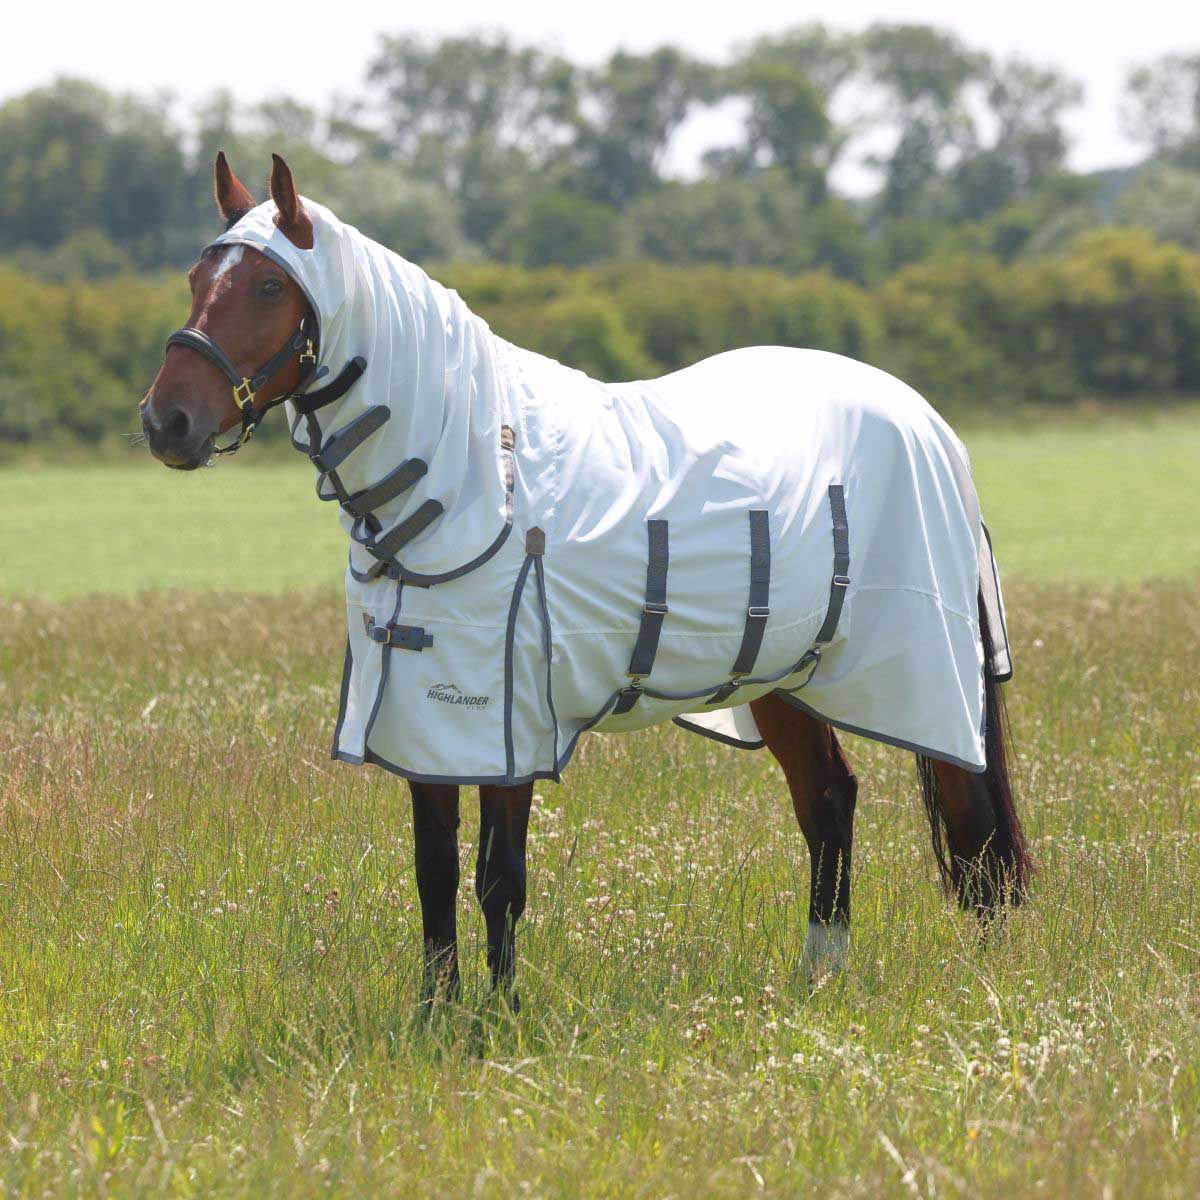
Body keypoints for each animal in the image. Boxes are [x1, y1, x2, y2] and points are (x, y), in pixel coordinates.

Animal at [140, 153, 1030, 1008]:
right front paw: (434, 1017)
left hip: (932, 672)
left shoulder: (509, 722)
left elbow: (497, 880)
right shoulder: (424, 722)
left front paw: (497, 1021)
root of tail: (925, 419)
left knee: (976, 829)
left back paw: (987, 982)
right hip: (783, 676)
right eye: (193, 277)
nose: (165, 422)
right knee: (829, 801)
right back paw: (820, 978)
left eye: (268, 285)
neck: (474, 477)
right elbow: (434, 875)